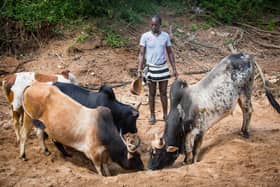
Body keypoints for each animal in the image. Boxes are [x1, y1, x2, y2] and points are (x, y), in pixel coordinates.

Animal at [148, 52, 278, 169]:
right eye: (151, 152)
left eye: (158, 154)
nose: (150, 167)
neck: (182, 109)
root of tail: (247, 56)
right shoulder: (187, 133)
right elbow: (188, 148)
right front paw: (185, 161)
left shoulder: (200, 131)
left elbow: (194, 151)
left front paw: (193, 162)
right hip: (239, 97)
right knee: (244, 111)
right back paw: (241, 131)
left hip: (246, 92)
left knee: (249, 110)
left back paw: (245, 132)